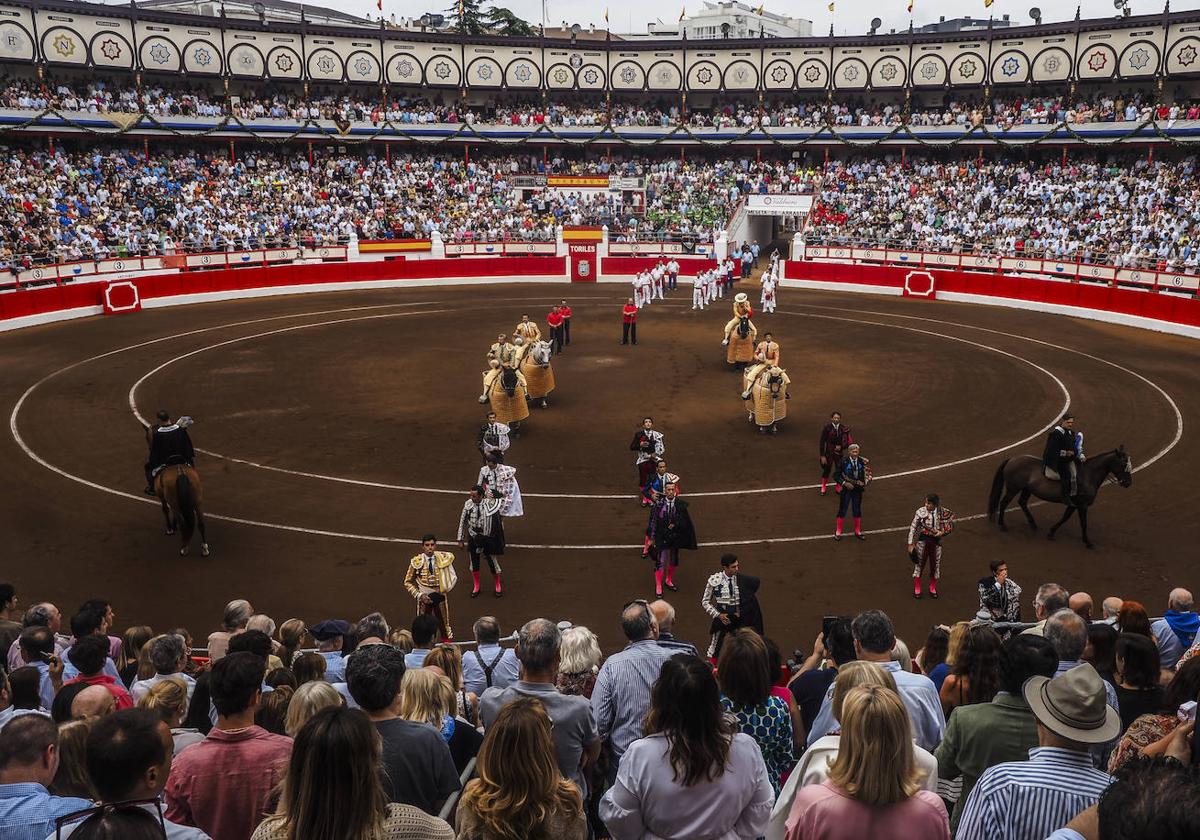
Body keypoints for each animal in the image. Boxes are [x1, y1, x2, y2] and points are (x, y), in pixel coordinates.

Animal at [984, 446, 1132, 552]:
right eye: (1123, 464)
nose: (1127, 483)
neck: (1088, 475)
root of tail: (1011, 459)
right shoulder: (1082, 505)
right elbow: (1083, 523)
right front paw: (1088, 542)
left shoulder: (1073, 505)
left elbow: (1065, 517)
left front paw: (1051, 533)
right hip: (1013, 489)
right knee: (1004, 503)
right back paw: (1003, 525)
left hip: (1026, 490)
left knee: (1022, 503)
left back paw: (1033, 524)